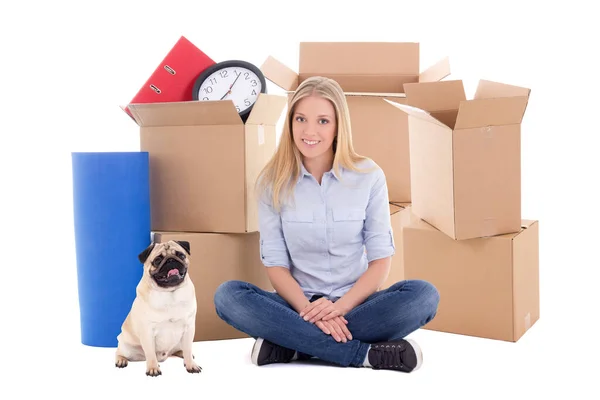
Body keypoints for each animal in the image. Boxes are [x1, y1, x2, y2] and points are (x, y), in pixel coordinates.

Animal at [113, 239, 203, 376]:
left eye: (181, 255)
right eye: (157, 260)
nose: (171, 260)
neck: (170, 293)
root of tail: (164, 356)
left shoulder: (189, 328)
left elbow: (188, 348)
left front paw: (191, 365)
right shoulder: (147, 331)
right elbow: (150, 353)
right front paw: (153, 368)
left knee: (180, 349)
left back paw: (183, 355)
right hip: (126, 347)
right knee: (119, 352)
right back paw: (121, 360)